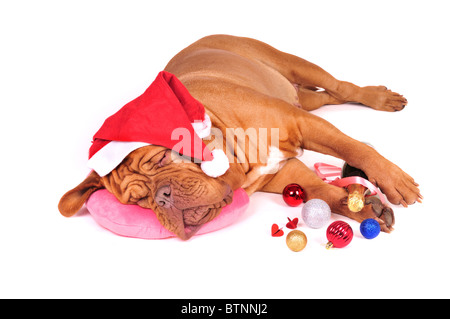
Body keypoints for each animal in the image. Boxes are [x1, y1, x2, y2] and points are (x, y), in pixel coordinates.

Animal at [59, 35, 422, 240]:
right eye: (137, 201)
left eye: (162, 157)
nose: (162, 196)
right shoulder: (286, 174)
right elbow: (323, 193)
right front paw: (362, 209)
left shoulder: (302, 124)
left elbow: (355, 149)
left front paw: (394, 181)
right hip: (304, 99)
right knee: (325, 97)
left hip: (294, 65)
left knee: (340, 87)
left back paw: (377, 98)